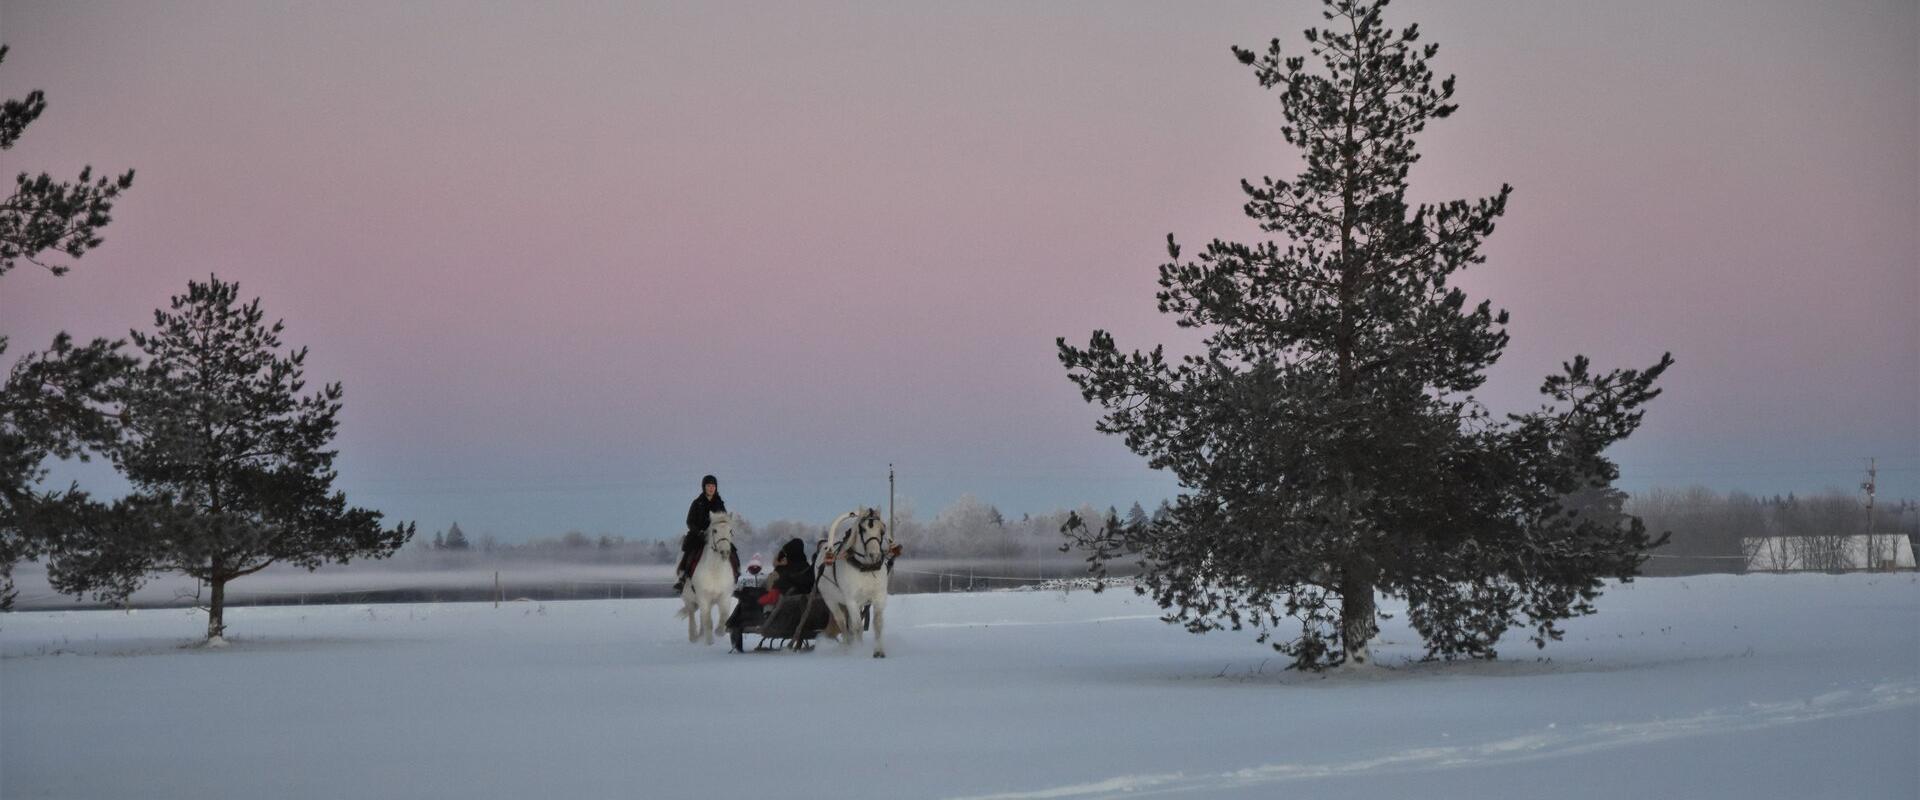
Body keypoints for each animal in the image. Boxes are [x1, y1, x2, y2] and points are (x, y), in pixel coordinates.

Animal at [675, 506, 733, 644]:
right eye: (715, 530)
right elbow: (708, 621)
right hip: (689, 598)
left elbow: (724, 618)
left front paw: (718, 632)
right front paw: (709, 642)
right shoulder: (703, 597)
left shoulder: (725, 596)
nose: (725, 552)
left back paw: (701, 635)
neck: (715, 571)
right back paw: (694, 637)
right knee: (692, 614)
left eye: (730, 530)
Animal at [814, 506, 894, 656]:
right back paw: (847, 647)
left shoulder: (879, 596)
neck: (866, 569)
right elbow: (857, 627)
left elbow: (877, 624)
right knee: (841, 622)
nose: (874, 555)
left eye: (882, 530)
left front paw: (879, 651)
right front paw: (859, 650)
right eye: (863, 529)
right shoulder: (851, 600)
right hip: (831, 600)